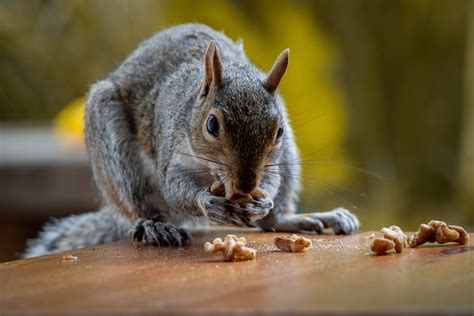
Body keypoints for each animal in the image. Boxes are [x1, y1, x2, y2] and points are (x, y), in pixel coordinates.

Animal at [24, 24, 360, 256]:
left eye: (277, 131)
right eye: (212, 124)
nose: (246, 185)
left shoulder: (277, 158)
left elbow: (271, 183)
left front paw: (262, 201)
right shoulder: (172, 150)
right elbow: (176, 189)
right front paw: (209, 203)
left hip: (290, 160)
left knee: (272, 220)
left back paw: (299, 218)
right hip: (114, 148)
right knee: (140, 203)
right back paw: (156, 226)